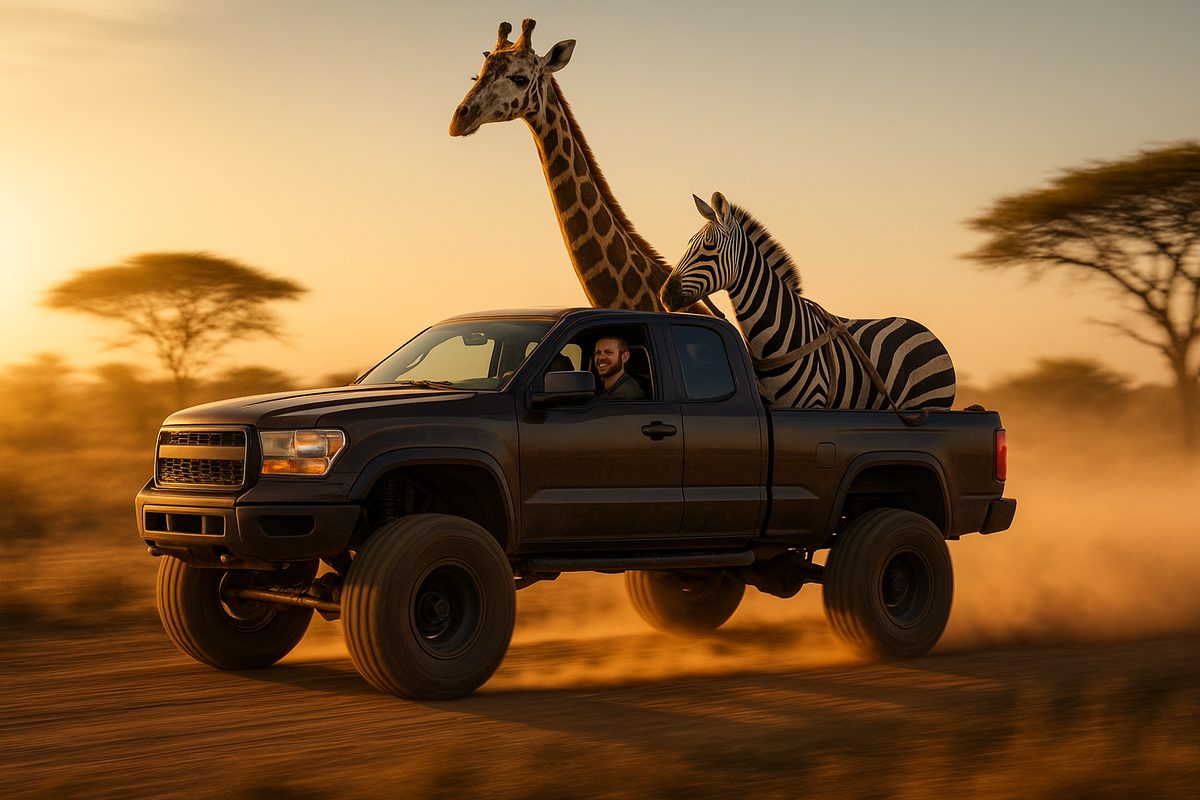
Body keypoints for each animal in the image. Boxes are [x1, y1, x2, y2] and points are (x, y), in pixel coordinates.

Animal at [660, 192, 956, 411]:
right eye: (688, 243)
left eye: (708, 247)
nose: (665, 295)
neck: (773, 337)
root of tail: (926, 331)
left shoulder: (811, 407)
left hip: (929, 402)